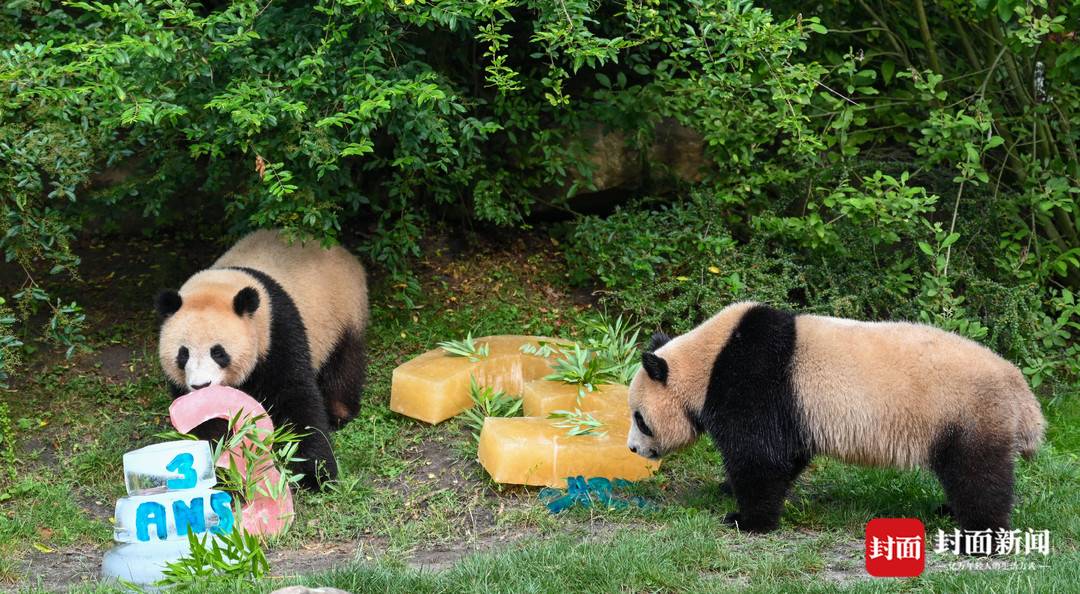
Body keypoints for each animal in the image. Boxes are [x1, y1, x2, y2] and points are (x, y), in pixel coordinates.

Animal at [154, 230, 369, 490]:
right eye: (183, 354)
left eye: (218, 352)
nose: (201, 386)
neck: (219, 286)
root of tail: (339, 249)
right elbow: (204, 423)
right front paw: (224, 474)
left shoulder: (277, 331)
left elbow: (296, 395)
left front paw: (316, 475)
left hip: (344, 312)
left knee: (344, 362)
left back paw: (339, 413)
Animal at [626, 302, 1045, 552]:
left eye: (639, 418)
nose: (633, 449)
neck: (707, 362)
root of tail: (1023, 395)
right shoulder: (789, 410)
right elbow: (786, 456)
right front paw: (728, 489)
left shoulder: (754, 380)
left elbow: (759, 456)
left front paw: (746, 519)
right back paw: (946, 510)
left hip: (968, 413)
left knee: (979, 478)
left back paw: (976, 539)